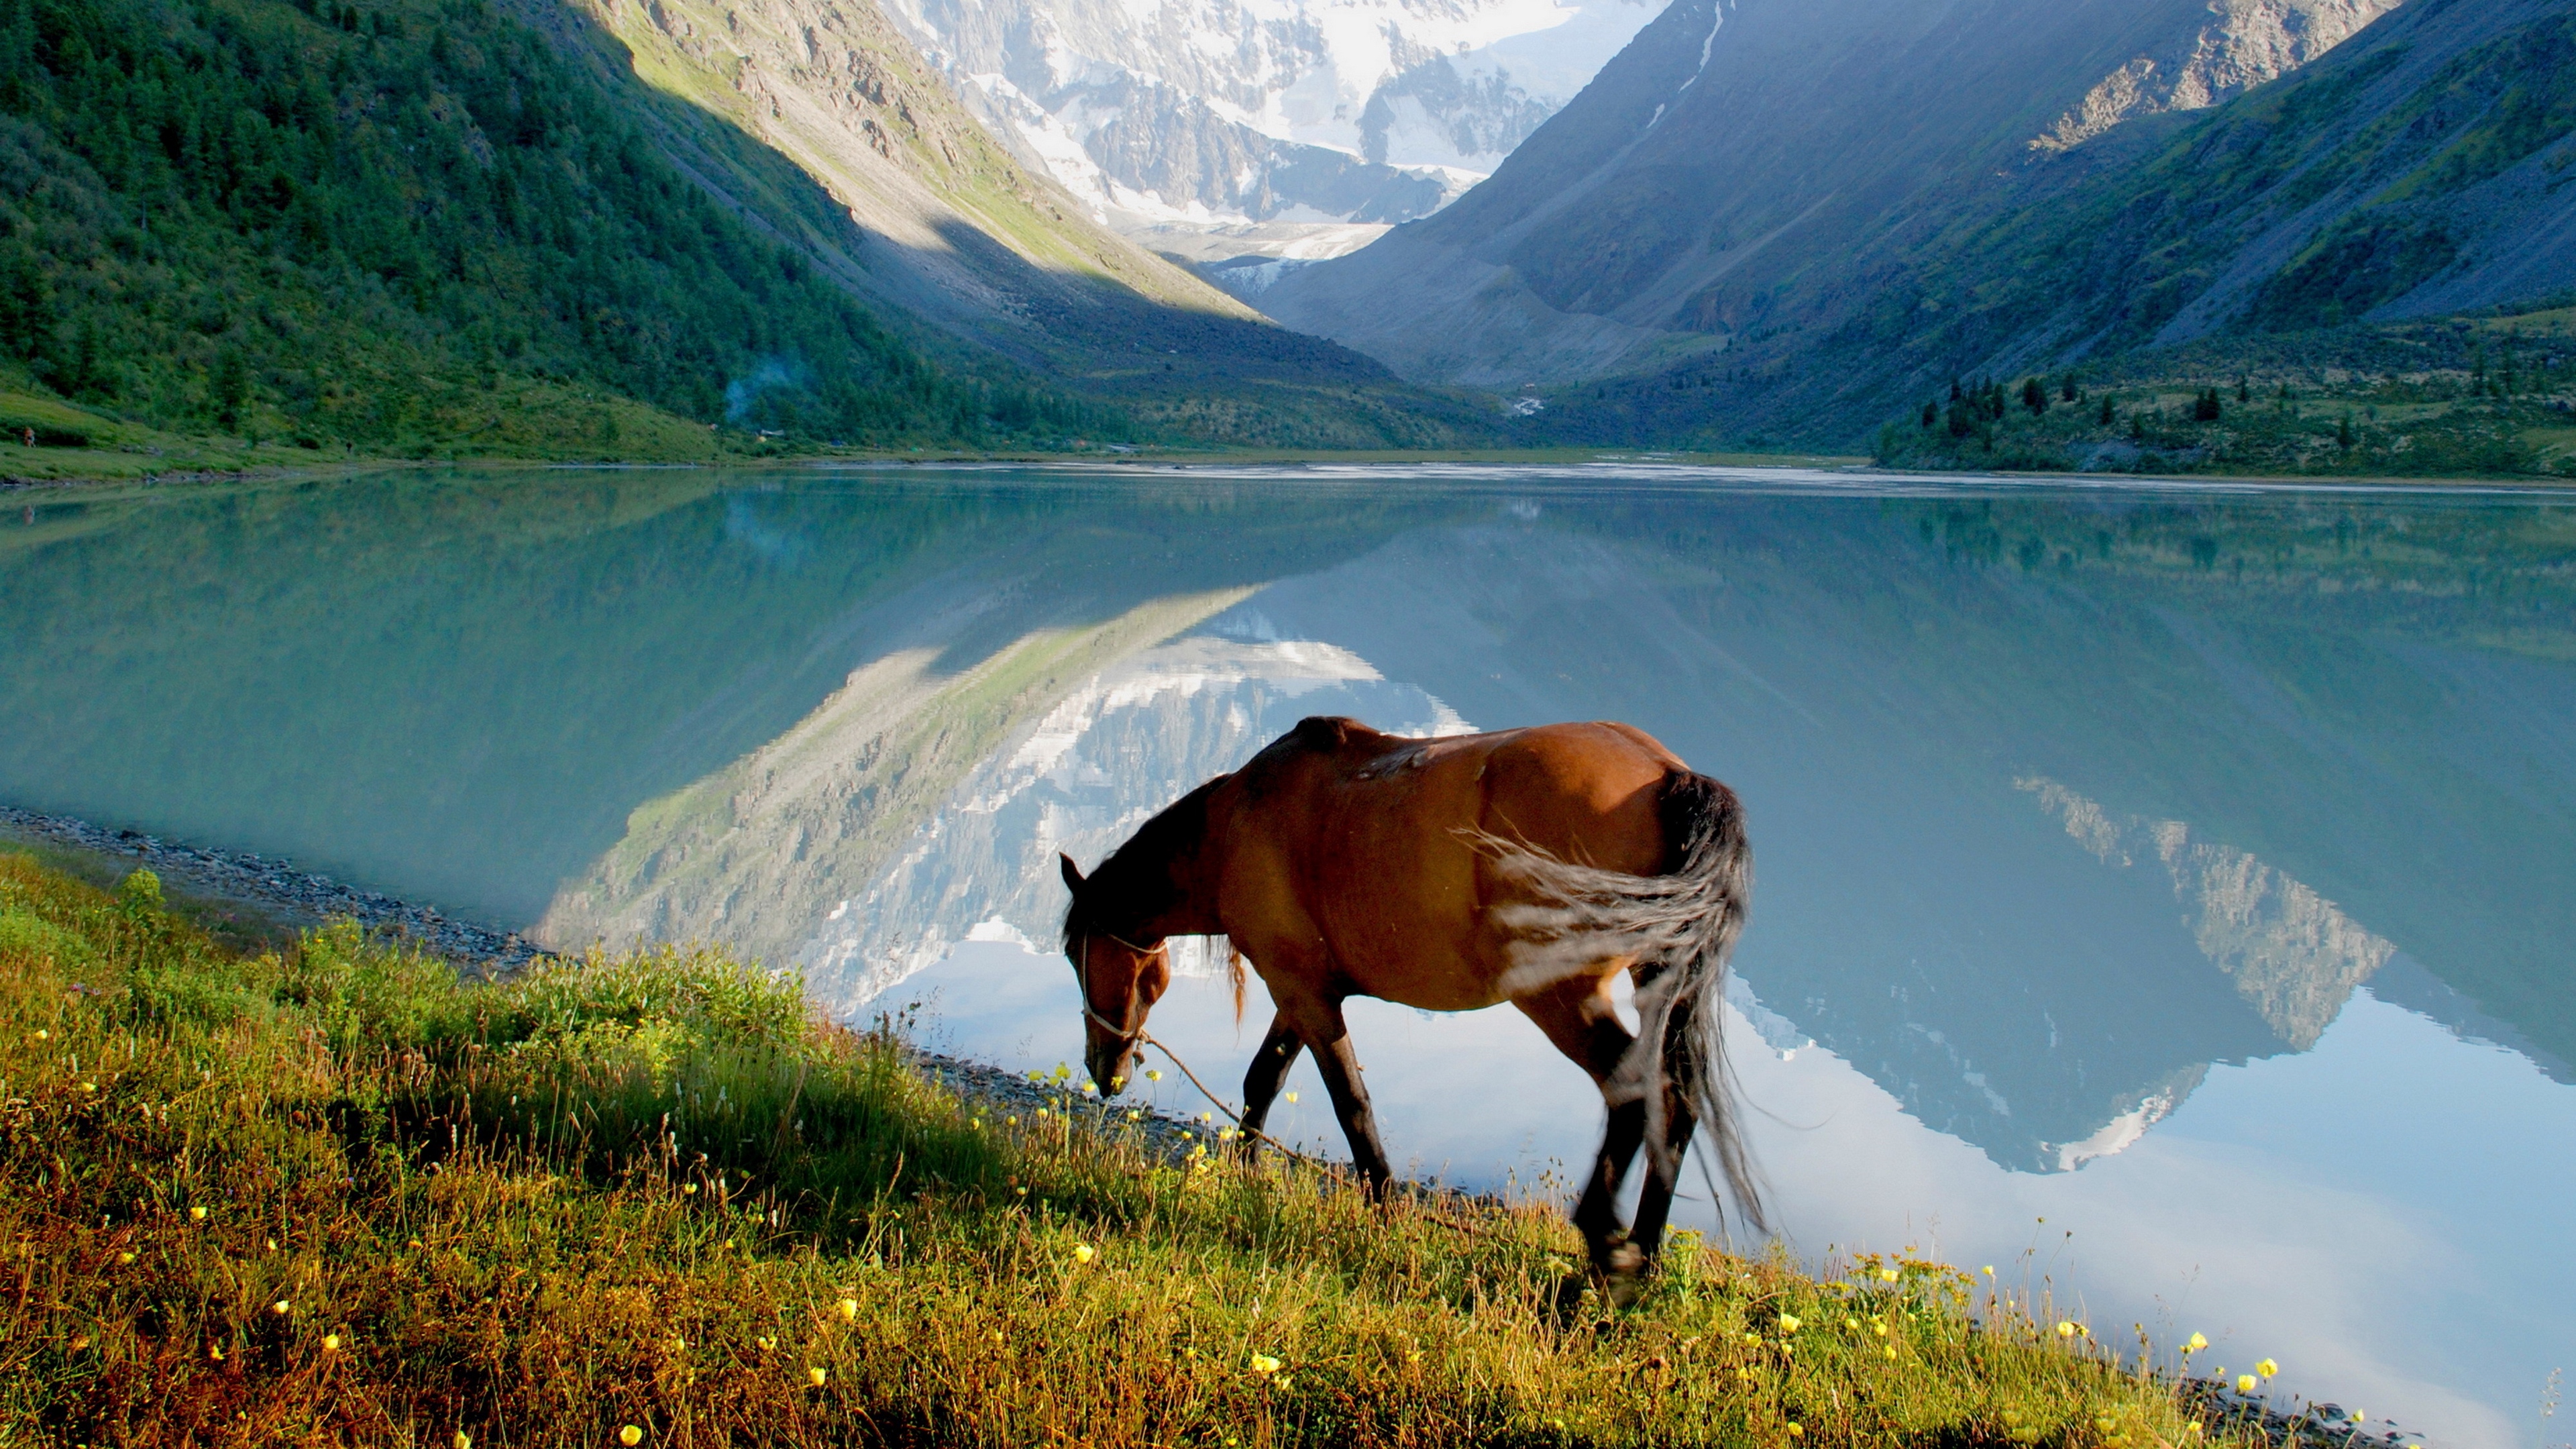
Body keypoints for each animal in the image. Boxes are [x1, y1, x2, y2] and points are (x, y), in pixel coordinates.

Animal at [1056, 711, 1762, 1273]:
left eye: (1072, 952)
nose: (1105, 1070)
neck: (1236, 825)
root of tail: (1667, 776)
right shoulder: (1301, 989)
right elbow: (1265, 1078)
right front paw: (1244, 1171)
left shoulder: (1303, 992)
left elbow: (1349, 1102)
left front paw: (1383, 1207)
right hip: (1655, 980)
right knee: (1676, 1099)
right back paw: (1641, 1260)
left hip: (1560, 996)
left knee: (1635, 1092)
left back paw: (1600, 1260)